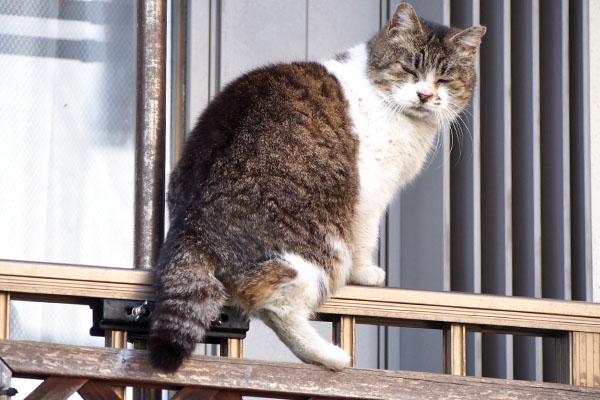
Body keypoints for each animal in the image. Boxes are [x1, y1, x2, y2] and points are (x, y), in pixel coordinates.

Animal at [148, 2, 486, 372]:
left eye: (444, 79)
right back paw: (331, 356)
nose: (424, 95)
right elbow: (365, 239)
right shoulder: (371, 192)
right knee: (273, 304)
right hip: (318, 251)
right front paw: (365, 273)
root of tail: (191, 224)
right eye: (409, 68)